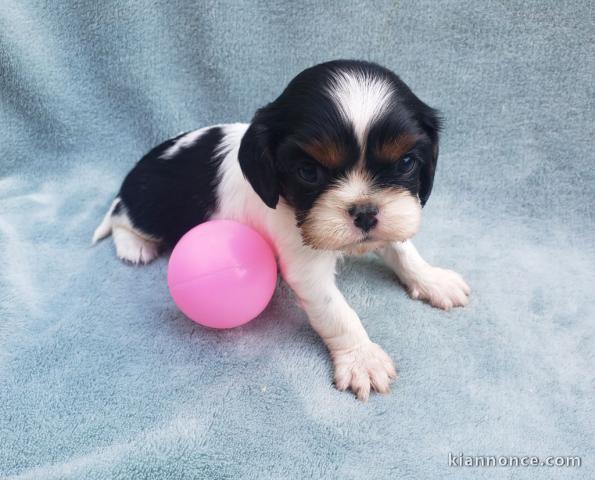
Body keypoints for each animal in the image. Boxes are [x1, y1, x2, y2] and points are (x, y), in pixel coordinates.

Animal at [93, 60, 470, 400]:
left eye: (405, 163)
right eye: (308, 172)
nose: (364, 212)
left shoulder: (393, 219)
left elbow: (403, 249)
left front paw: (432, 279)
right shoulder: (306, 268)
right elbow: (337, 312)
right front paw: (362, 358)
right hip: (151, 207)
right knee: (119, 215)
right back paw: (133, 246)